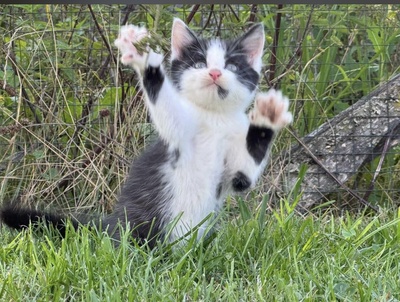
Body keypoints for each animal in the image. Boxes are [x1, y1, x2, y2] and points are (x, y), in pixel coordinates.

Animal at [0, 17, 294, 247]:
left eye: (231, 67)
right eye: (199, 64)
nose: (213, 73)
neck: (214, 118)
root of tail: (108, 224)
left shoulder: (235, 173)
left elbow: (244, 176)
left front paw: (267, 117)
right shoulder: (176, 140)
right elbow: (166, 111)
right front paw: (145, 61)